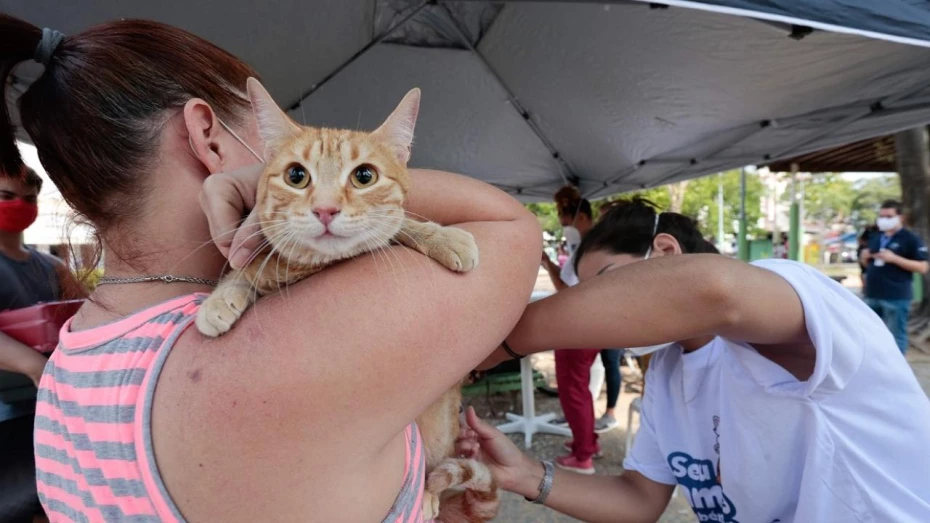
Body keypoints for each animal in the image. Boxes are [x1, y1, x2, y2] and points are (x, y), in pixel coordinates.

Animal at [197, 79, 500, 523]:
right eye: (296, 176)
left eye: (364, 176)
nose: (325, 209)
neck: (314, 267)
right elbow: (246, 269)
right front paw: (221, 299)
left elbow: (401, 226)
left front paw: (443, 236)